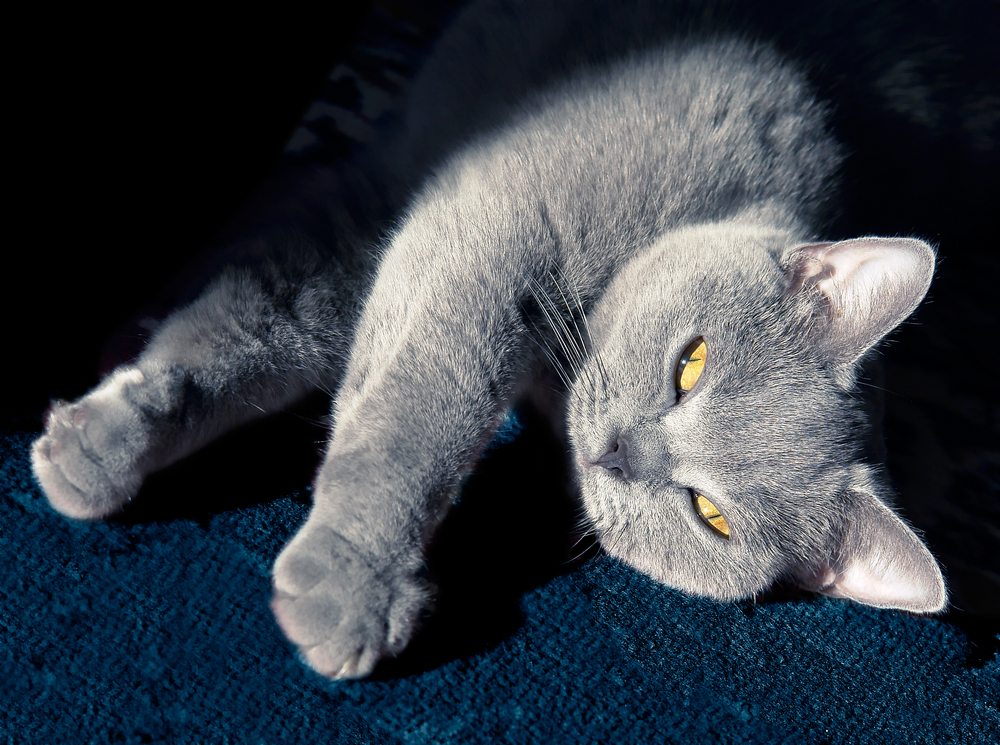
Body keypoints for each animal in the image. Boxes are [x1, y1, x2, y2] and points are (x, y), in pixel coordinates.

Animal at [31, 0, 944, 676]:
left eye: (710, 514)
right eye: (692, 363)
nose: (618, 452)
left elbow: (276, 329)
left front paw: (101, 440)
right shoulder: (492, 219)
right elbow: (420, 411)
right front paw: (353, 584)